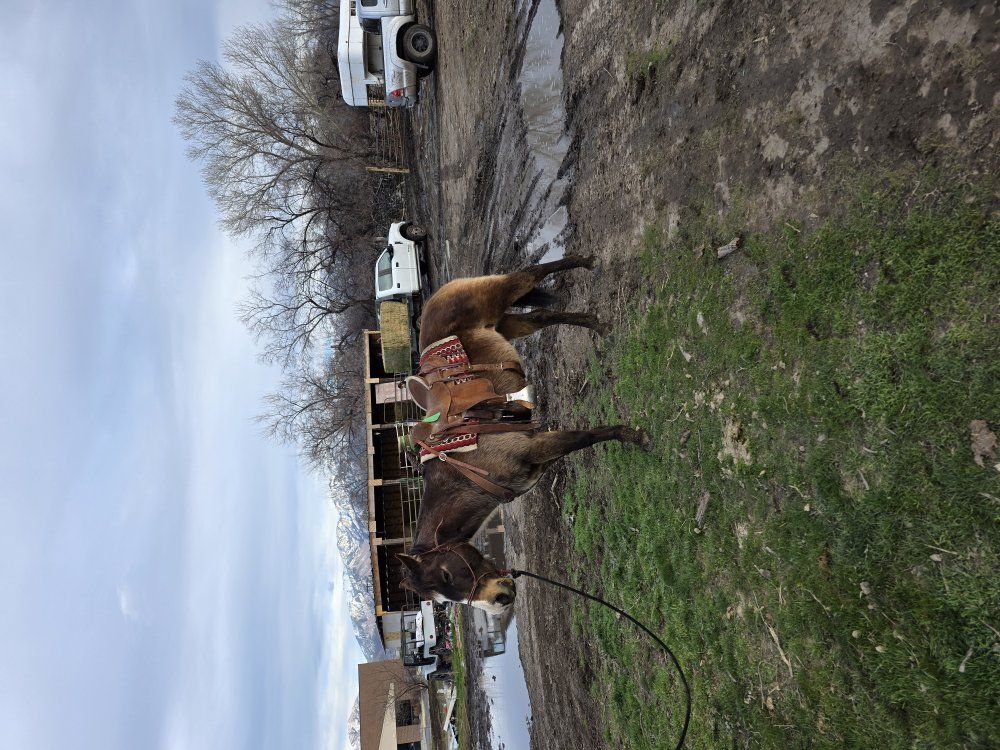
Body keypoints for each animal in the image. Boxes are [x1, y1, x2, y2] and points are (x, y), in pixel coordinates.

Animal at [396, 254, 650, 613]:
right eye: (442, 599)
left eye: (445, 573)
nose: (499, 600)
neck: (466, 474)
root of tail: (433, 298)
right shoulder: (537, 455)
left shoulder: (531, 449)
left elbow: (584, 437)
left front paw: (634, 436)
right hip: (506, 325)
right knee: (541, 316)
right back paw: (596, 324)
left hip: (500, 295)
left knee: (532, 273)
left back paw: (585, 262)